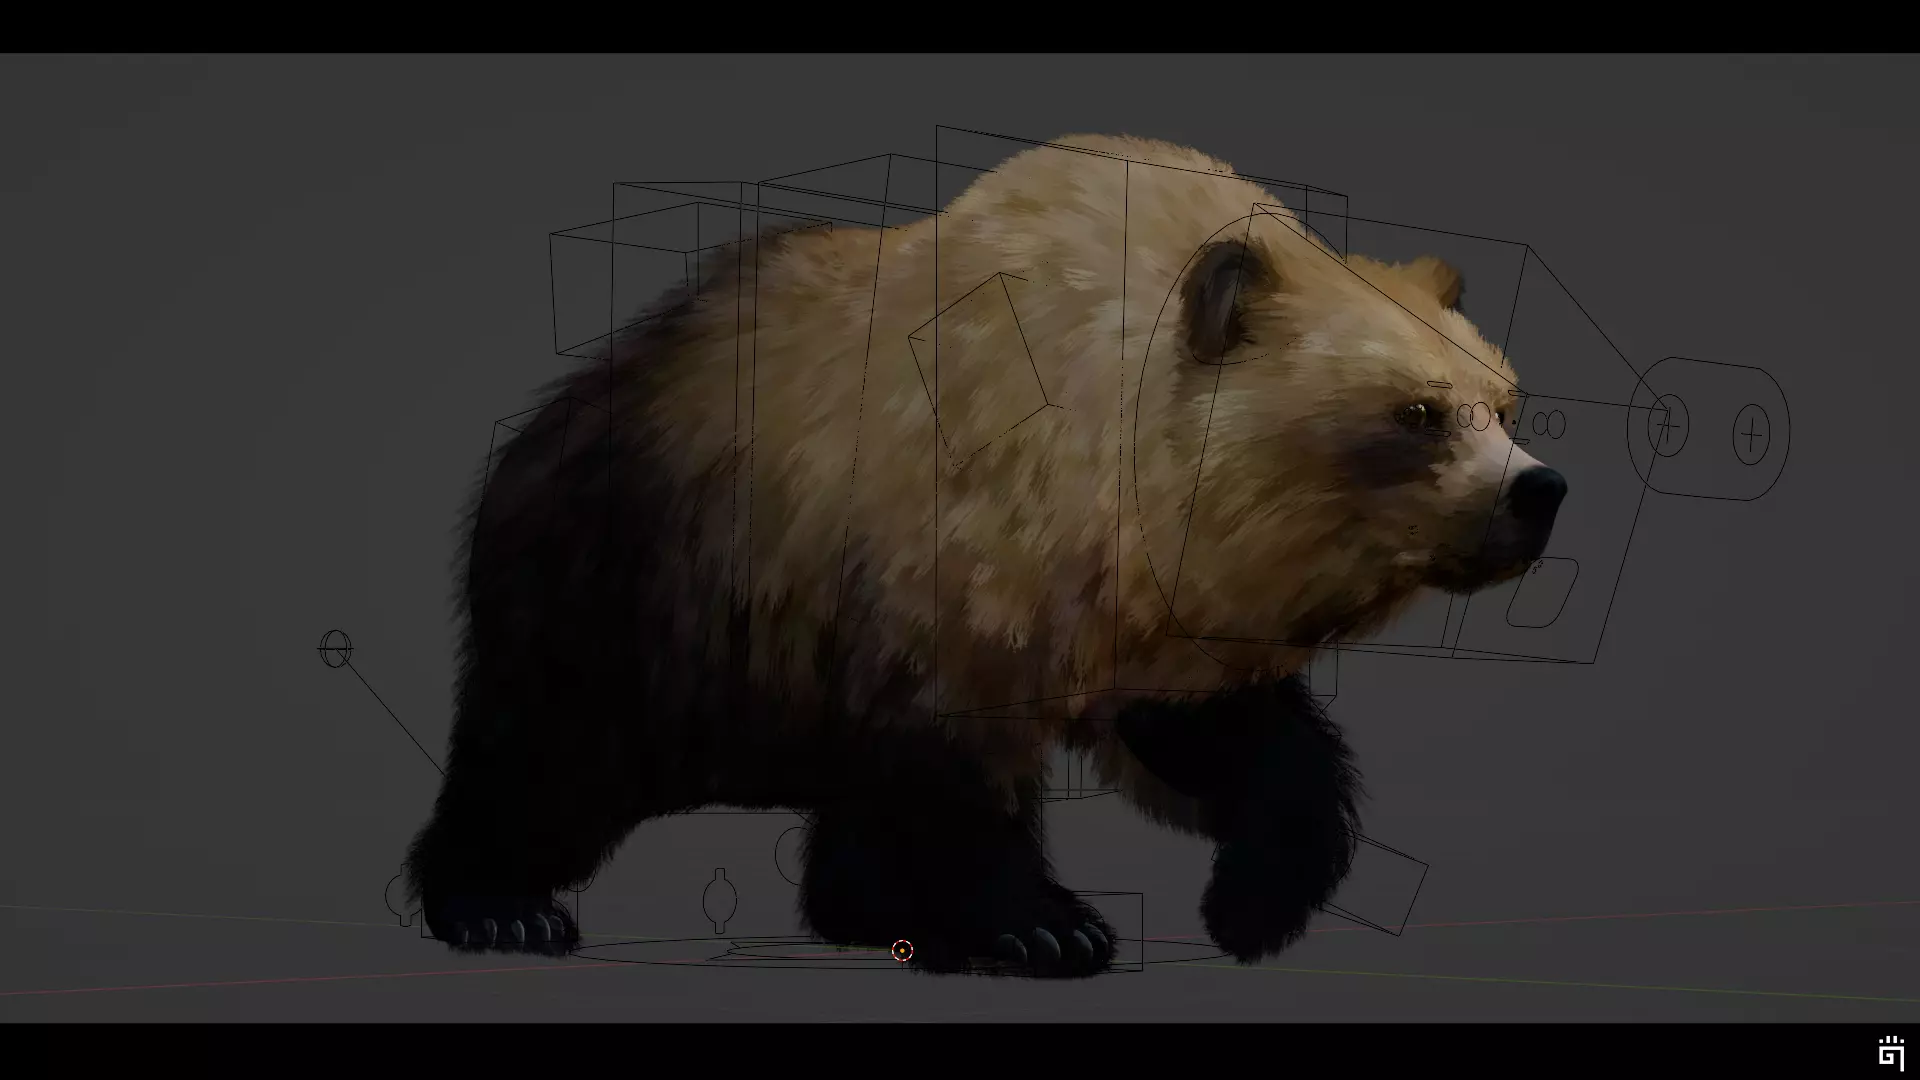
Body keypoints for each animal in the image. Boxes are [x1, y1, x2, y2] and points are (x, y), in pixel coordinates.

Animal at [402, 133, 1568, 978]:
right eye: (1418, 412)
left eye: (1506, 401)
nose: (1539, 492)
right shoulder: (933, 565)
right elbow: (956, 770)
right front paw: (1043, 925)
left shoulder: (1155, 613)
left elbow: (1233, 741)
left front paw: (1250, 904)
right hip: (642, 576)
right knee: (551, 749)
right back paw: (500, 905)